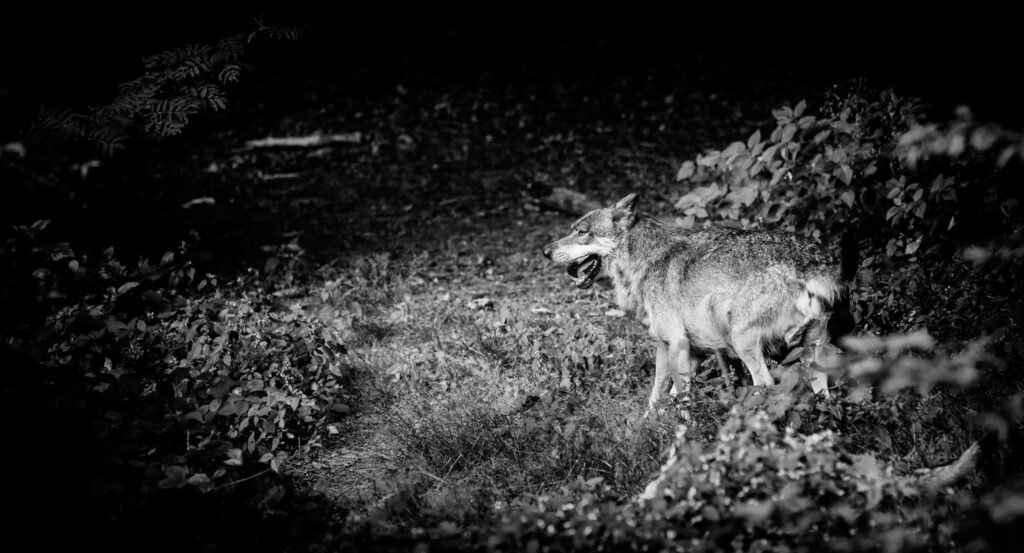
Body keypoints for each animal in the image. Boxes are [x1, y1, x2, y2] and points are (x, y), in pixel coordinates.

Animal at [543, 193, 854, 416]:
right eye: (572, 229)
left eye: (582, 232)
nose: (545, 251)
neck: (645, 259)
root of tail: (814, 265)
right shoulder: (688, 351)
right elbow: (664, 396)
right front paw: (650, 427)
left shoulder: (673, 344)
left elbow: (673, 397)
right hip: (811, 355)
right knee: (821, 394)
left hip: (742, 341)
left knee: (765, 385)